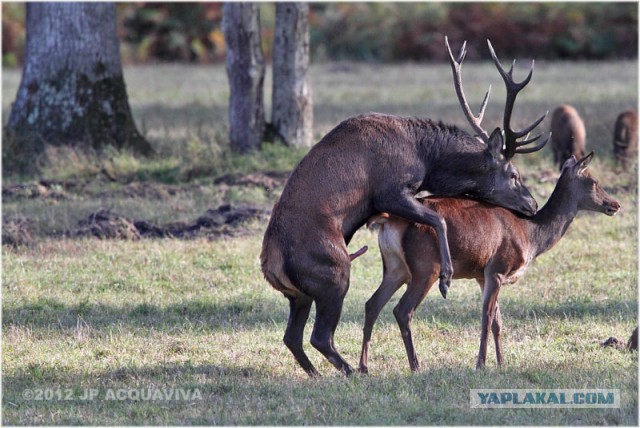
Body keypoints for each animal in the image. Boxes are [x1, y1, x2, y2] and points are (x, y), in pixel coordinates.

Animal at [260, 38, 552, 376]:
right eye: (513, 174)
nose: (532, 204)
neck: (426, 157)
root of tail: (271, 265)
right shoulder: (390, 190)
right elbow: (437, 219)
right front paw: (446, 279)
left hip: (300, 295)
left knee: (292, 337)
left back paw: (320, 374)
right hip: (333, 271)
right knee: (319, 335)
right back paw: (353, 371)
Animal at [360, 152, 620, 372]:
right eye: (593, 181)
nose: (615, 204)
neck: (531, 235)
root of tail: (388, 221)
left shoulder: (482, 275)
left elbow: (498, 321)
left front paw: (502, 363)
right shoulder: (498, 268)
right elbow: (486, 317)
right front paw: (481, 364)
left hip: (395, 267)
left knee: (372, 303)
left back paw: (363, 367)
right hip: (426, 267)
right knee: (402, 310)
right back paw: (416, 366)